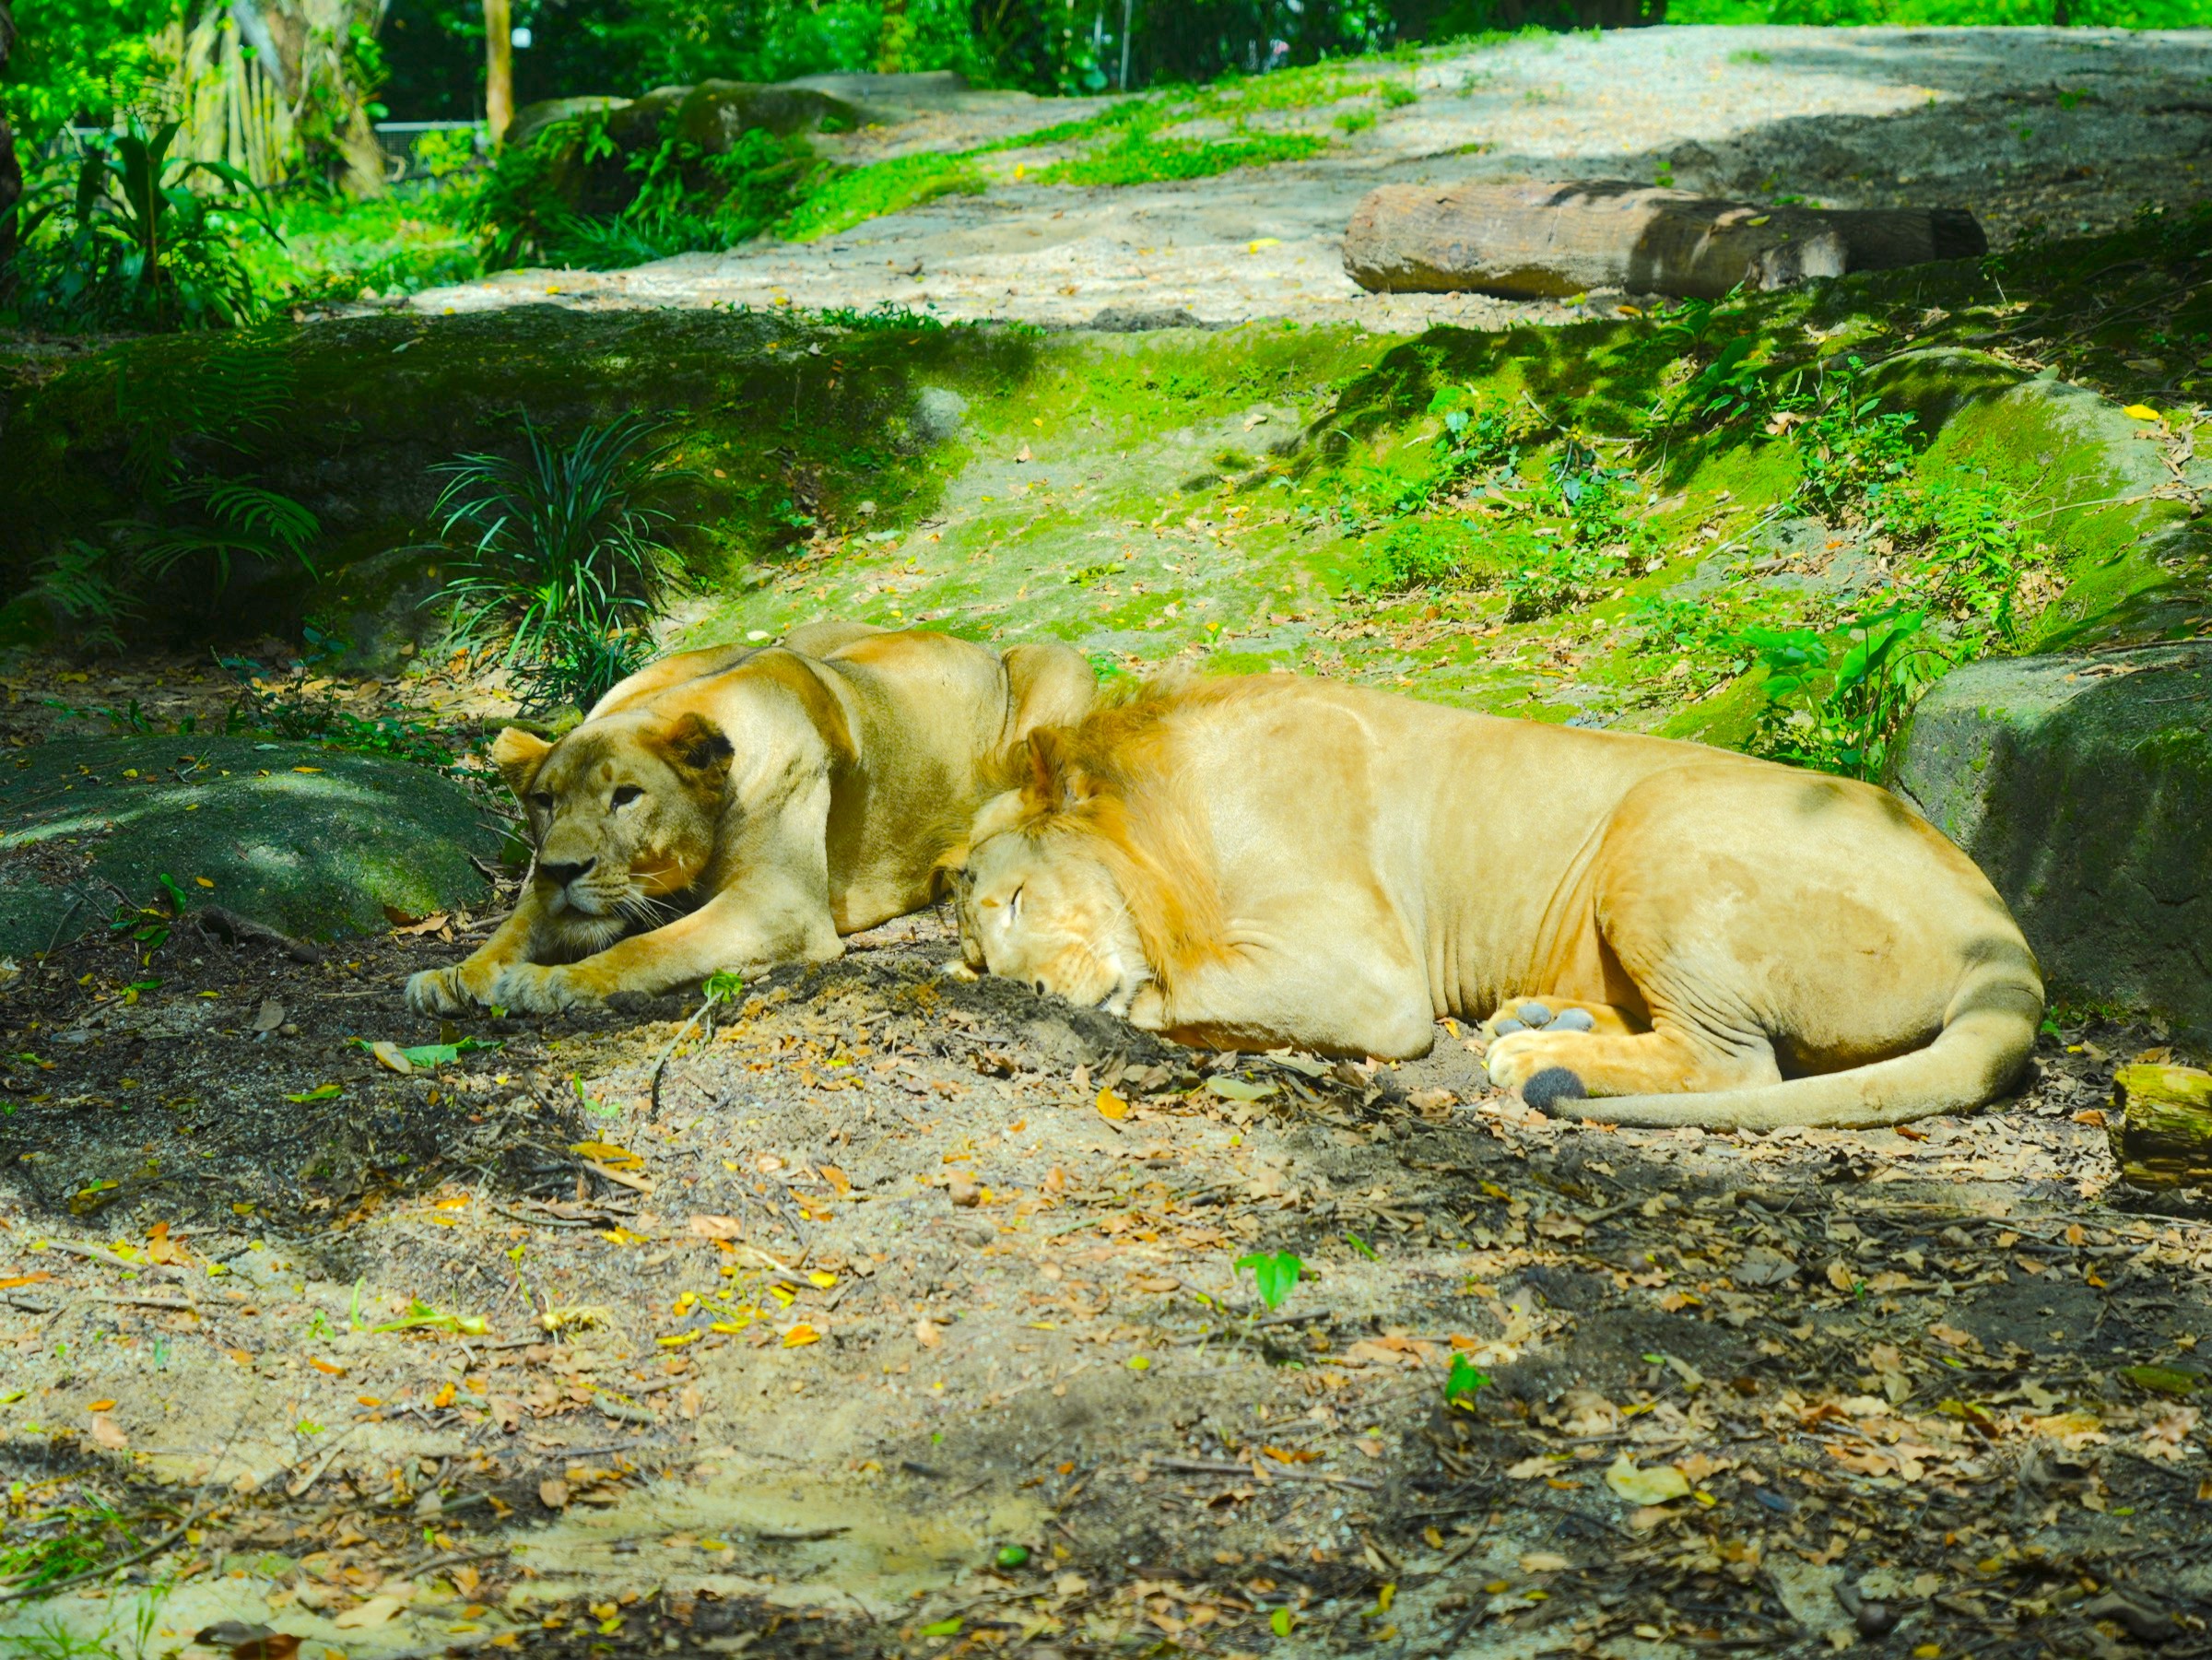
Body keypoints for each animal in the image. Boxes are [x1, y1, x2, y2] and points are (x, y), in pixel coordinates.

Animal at [409, 624, 1097, 1013]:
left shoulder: (780, 903)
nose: (562, 868)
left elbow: (653, 946)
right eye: (544, 801)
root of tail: (969, 642)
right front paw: (454, 976)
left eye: (626, 796)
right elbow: (513, 927)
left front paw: (548, 984)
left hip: (1061, 667)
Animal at [951, 673, 2035, 1133]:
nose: (1021, 991)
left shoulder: (1369, 979)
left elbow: (1185, 986)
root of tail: (2001, 935)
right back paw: (1541, 1019)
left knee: (1738, 1063)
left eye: (1015, 900)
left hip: (1660, 817)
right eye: (975, 957)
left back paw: (1535, 1056)